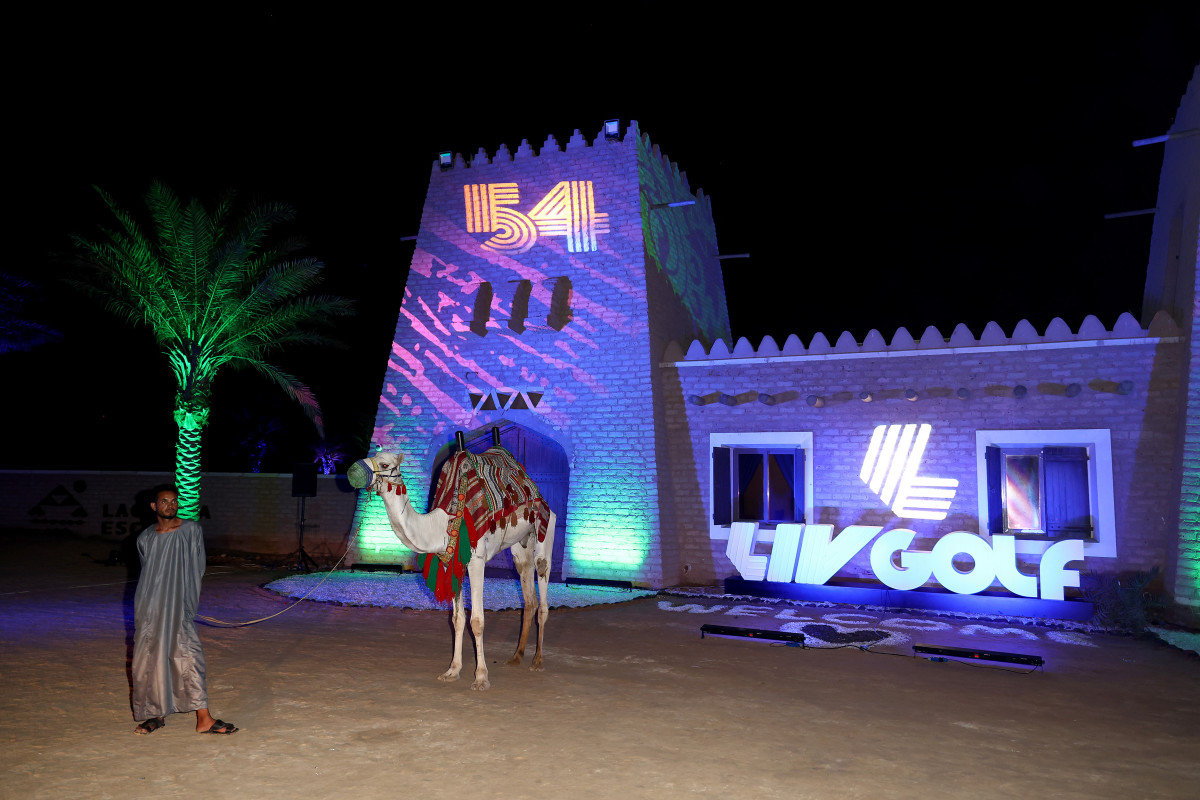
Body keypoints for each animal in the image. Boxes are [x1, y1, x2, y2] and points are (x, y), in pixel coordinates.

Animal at [345, 434, 554, 690]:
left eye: (384, 464)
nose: (352, 471)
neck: (441, 524)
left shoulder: (476, 560)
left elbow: (477, 620)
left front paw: (481, 678)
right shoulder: (453, 564)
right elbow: (457, 619)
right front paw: (452, 671)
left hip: (545, 530)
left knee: (542, 592)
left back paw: (537, 660)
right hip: (520, 546)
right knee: (529, 598)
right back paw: (516, 657)